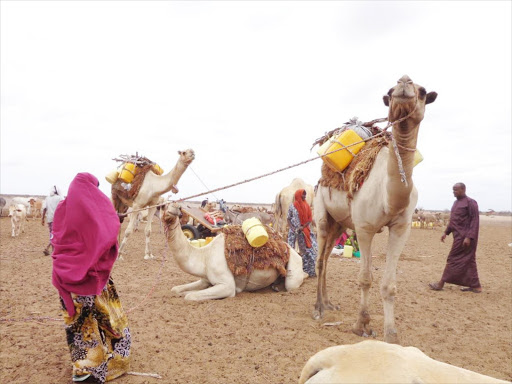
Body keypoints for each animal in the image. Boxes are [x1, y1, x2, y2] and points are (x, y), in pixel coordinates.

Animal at [161, 204, 304, 300]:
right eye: (163, 206)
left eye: (176, 206)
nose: (174, 208)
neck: (204, 256)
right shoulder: (205, 279)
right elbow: (175, 289)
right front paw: (180, 291)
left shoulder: (227, 286)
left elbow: (190, 296)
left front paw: (185, 294)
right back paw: (275, 286)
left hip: (294, 266)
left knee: (294, 282)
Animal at [314, 75, 438, 342]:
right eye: (390, 92)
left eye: (423, 91)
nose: (404, 82)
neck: (389, 196)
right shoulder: (364, 227)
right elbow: (365, 279)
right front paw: (361, 324)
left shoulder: (401, 228)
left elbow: (389, 284)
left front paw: (391, 334)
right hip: (321, 212)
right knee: (319, 260)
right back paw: (318, 308)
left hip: (339, 224)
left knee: (327, 258)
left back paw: (329, 304)